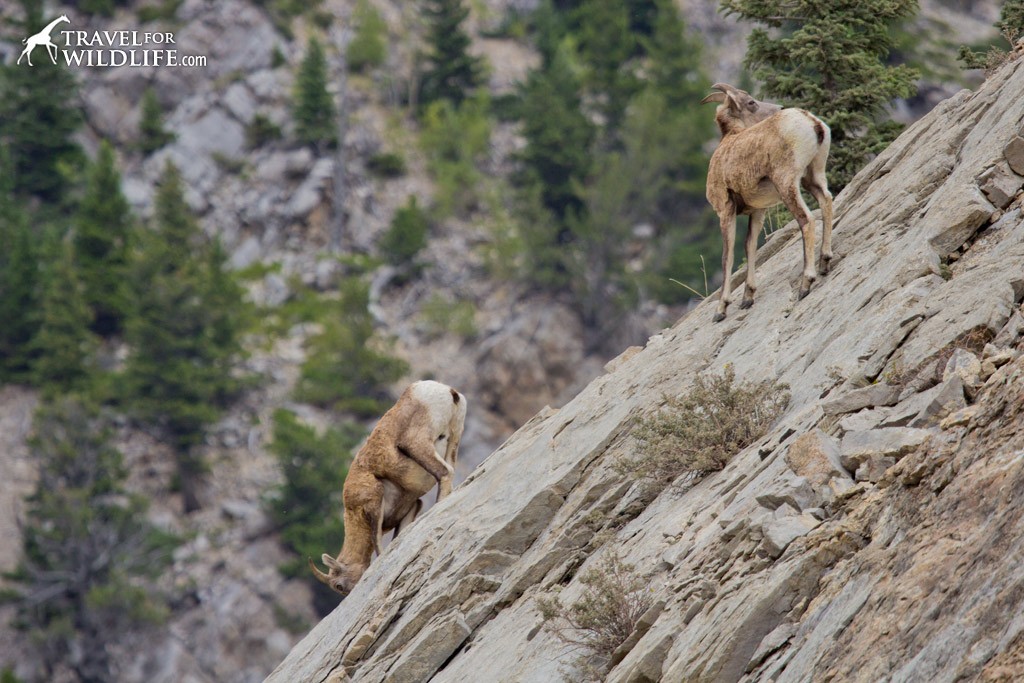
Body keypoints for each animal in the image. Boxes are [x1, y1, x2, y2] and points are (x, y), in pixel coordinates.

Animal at [307, 382, 468, 593]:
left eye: (338, 585)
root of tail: (448, 392)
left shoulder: (374, 506)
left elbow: (378, 546)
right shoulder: (411, 507)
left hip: (416, 443)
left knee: (445, 471)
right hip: (453, 439)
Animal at [700, 82, 835, 323]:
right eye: (751, 102)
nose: (779, 107)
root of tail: (812, 122)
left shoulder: (726, 210)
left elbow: (728, 257)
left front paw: (721, 310)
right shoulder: (758, 211)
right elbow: (750, 246)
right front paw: (747, 299)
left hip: (787, 183)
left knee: (807, 220)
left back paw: (805, 284)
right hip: (813, 176)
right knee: (826, 200)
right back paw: (825, 263)